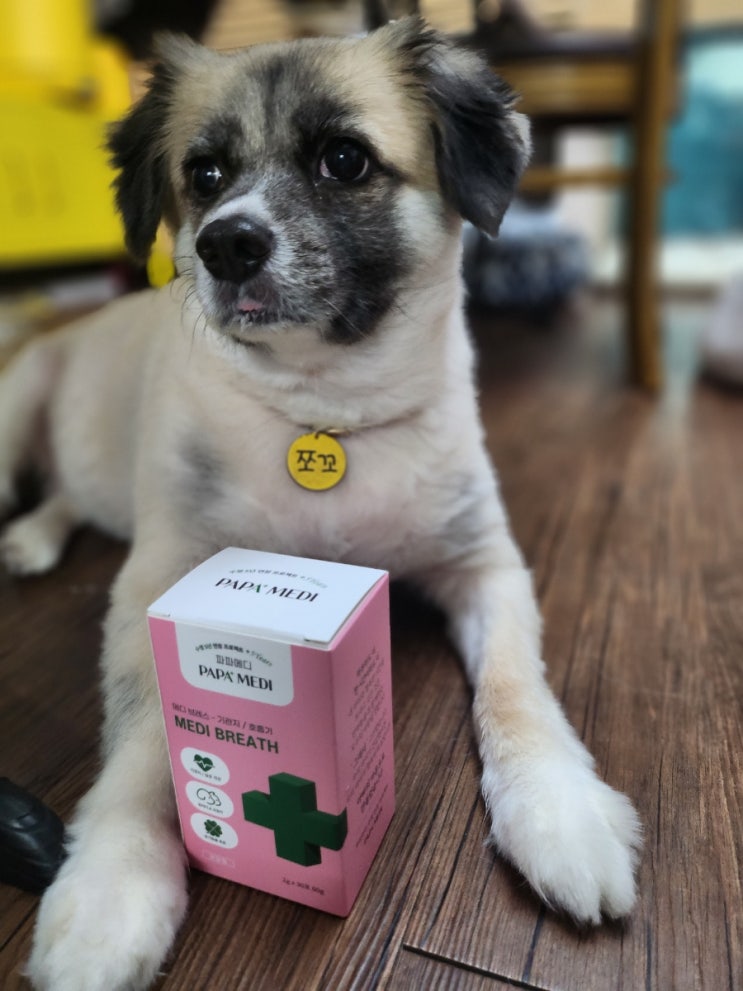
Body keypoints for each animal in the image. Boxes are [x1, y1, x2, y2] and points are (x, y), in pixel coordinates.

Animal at [0, 18, 641, 991]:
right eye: (205, 174)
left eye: (344, 159)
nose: (228, 243)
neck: (323, 414)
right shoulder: (159, 576)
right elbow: (146, 741)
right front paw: (111, 889)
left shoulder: (484, 564)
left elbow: (515, 688)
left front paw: (557, 811)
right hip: (15, 408)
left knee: (69, 496)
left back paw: (37, 535)